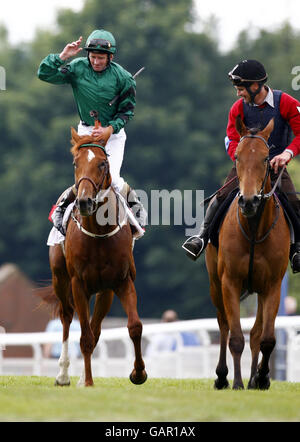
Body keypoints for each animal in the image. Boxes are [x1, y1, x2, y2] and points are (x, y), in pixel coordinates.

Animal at [45, 128, 146, 386]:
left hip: (104, 292)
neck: (99, 233)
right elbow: (85, 337)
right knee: (67, 317)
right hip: (60, 279)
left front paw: (138, 373)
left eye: (102, 163)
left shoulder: (122, 281)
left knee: (96, 327)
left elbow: (134, 326)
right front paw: (89, 382)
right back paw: (63, 375)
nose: (84, 201)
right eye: (75, 163)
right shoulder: (78, 284)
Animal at [206, 117, 290, 390]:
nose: (249, 201)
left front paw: (261, 377)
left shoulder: (272, 286)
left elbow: (265, 338)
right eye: (237, 157)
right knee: (223, 325)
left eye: (265, 158)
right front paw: (237, 383)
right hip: (215, 283)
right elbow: (235, 337)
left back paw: (254, 378)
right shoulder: (229, 281)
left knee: (255, 334)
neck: (253, 228)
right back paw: (222, 376)